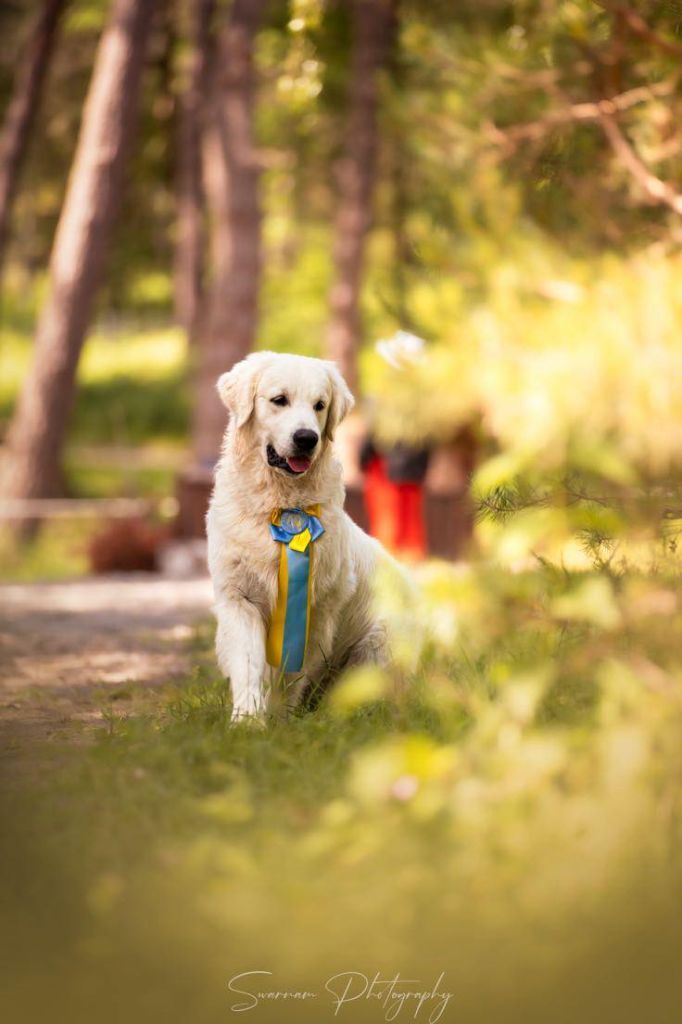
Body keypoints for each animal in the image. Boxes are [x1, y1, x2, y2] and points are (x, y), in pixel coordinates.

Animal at [206, 352, 399, 720]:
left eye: (319, 405)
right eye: (279, 400)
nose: (307, 438)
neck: (280, 505)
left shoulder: (316, 608)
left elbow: (290, 674)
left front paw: (280, 718)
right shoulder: (240, 598)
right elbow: (249, 665)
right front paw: (248, 720)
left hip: (376, 649)